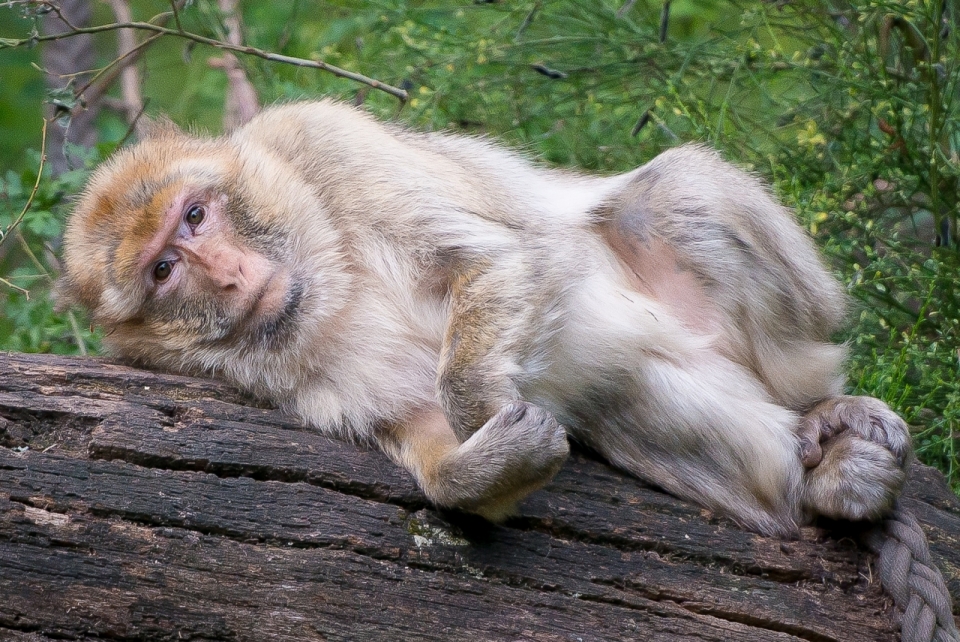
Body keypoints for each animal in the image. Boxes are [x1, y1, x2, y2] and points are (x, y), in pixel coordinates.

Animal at [56, 100, 912, 536]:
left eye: (196, 216)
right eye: (163, 271)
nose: (232, 277)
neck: (327, 274)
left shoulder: (322, 139)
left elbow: (505, 256)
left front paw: (484, 406)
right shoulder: (293, 378)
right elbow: (418, 432)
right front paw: (480, 468)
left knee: (674, 194)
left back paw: (827, 412)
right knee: (653, 413)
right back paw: (815, 488)